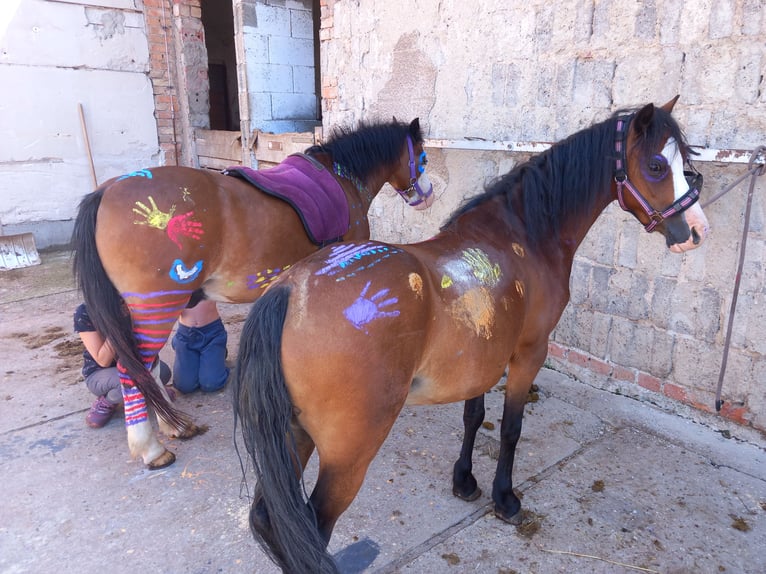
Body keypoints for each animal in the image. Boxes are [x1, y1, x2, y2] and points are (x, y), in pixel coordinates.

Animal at [71, 117, 434, 470]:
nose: (427, 196)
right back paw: (151, 449)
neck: (343, 176)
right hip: (156, 306)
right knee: (132, 370)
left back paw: (175, 426)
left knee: (145, 367)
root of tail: (106, 190)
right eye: (423, 157)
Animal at [233, 97, 709, 573]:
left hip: (294, 436)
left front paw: (464, 481)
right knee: (312, 528)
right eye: (656, 166)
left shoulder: (481, 353)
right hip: (346, 455)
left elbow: (474, 416)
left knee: (272, 521)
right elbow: (510, 428)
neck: (523, 235)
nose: (695, 232)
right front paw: (505, 497)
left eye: (686, 163)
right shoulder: (529, 353)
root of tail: (291, 291)